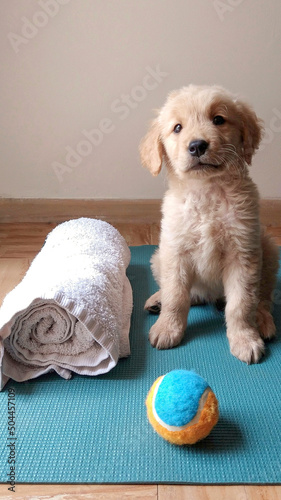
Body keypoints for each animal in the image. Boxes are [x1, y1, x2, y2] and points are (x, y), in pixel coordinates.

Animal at [138, 85, 278, 364]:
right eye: (177, 127)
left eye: (218, 120)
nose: (197, 145)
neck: (206, 192)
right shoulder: (176, 251)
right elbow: (176, 296)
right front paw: (167, 328)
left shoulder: (243, 254)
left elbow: (241, 304)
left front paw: (245, 339)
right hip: (158, 256)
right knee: (189, 294)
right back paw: (157, 301)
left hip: (268, 250)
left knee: (263, 298)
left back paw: (263, 321)